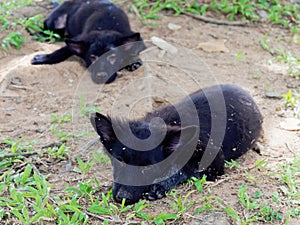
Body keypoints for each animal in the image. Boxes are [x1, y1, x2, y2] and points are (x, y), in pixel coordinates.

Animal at [91, 84, 262, 204]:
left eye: (148, 167)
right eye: (119, 161)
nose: (122, 198)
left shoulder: (214, 163)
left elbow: (184, 171)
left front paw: (160, 187)